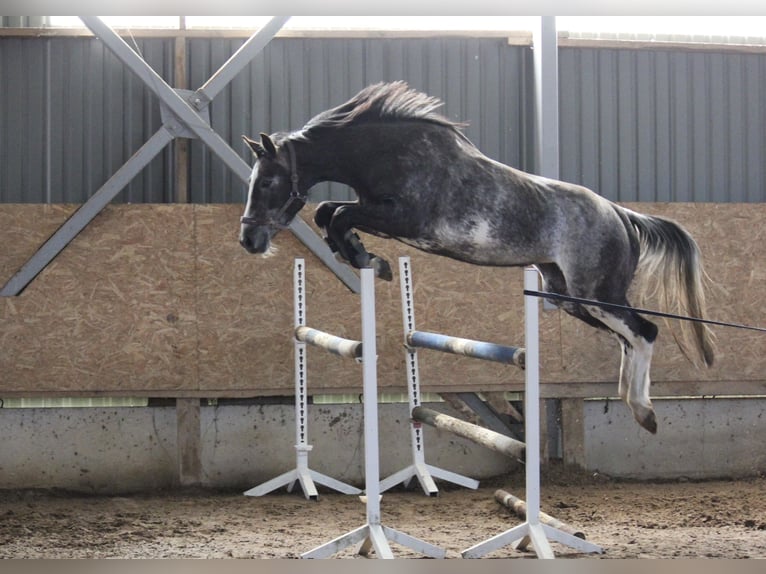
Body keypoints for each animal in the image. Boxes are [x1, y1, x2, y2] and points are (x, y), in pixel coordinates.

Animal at [239, 80, 715, 434]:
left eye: (267, 182)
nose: (249, 240)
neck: (389, 153)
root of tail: (620, 214)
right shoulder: (380, 211)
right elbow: (328, 212)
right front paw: (362, 256)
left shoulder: (405, 217)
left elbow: (336, 213)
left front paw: (369, 259)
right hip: (569, 298)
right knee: (628, 337)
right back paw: (633, 403)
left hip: (596, 294)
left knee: (645, 331)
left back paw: (644, 411)